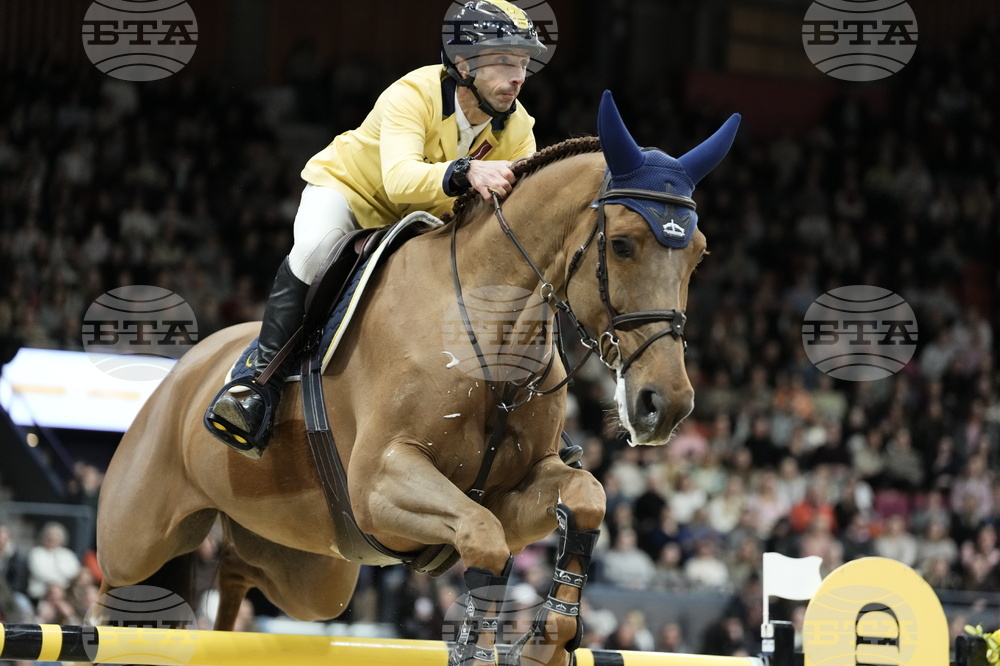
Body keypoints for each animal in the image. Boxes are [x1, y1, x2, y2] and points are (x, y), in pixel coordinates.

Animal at [95, 92, 739, 666]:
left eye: (699, 254)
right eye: (624, 245)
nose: (666, 405)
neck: (488, 338)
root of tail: (178, 374)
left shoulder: (513, 489)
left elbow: (584, 498)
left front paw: (548, 640)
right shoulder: (380, 483)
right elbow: (483, 538)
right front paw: (482, 646)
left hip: (309, 569)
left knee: (238, 567)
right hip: (136, 546)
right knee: (119, 600)